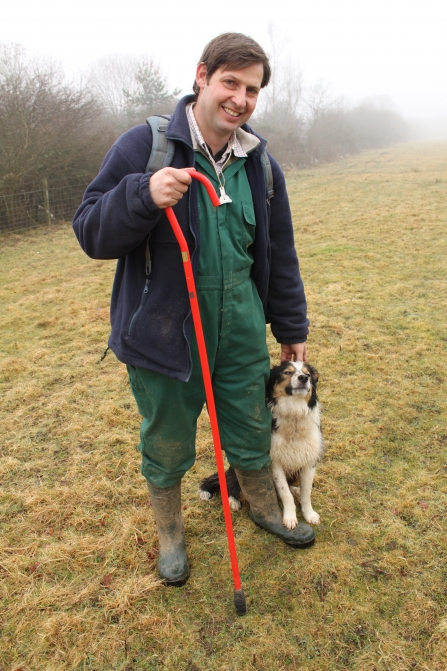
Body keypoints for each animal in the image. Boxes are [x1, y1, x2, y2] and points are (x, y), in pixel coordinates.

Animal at [201, 362, 324, 532]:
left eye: (308, 374)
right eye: (287, 372)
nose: (303, 378)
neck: (294, 417)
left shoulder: (309, 461)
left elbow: (306, 492)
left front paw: (309, 514)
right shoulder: (275, 462)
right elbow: (285, 493)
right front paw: (290, 518)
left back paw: (295, 489)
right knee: (231, 483)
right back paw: (233, 501)